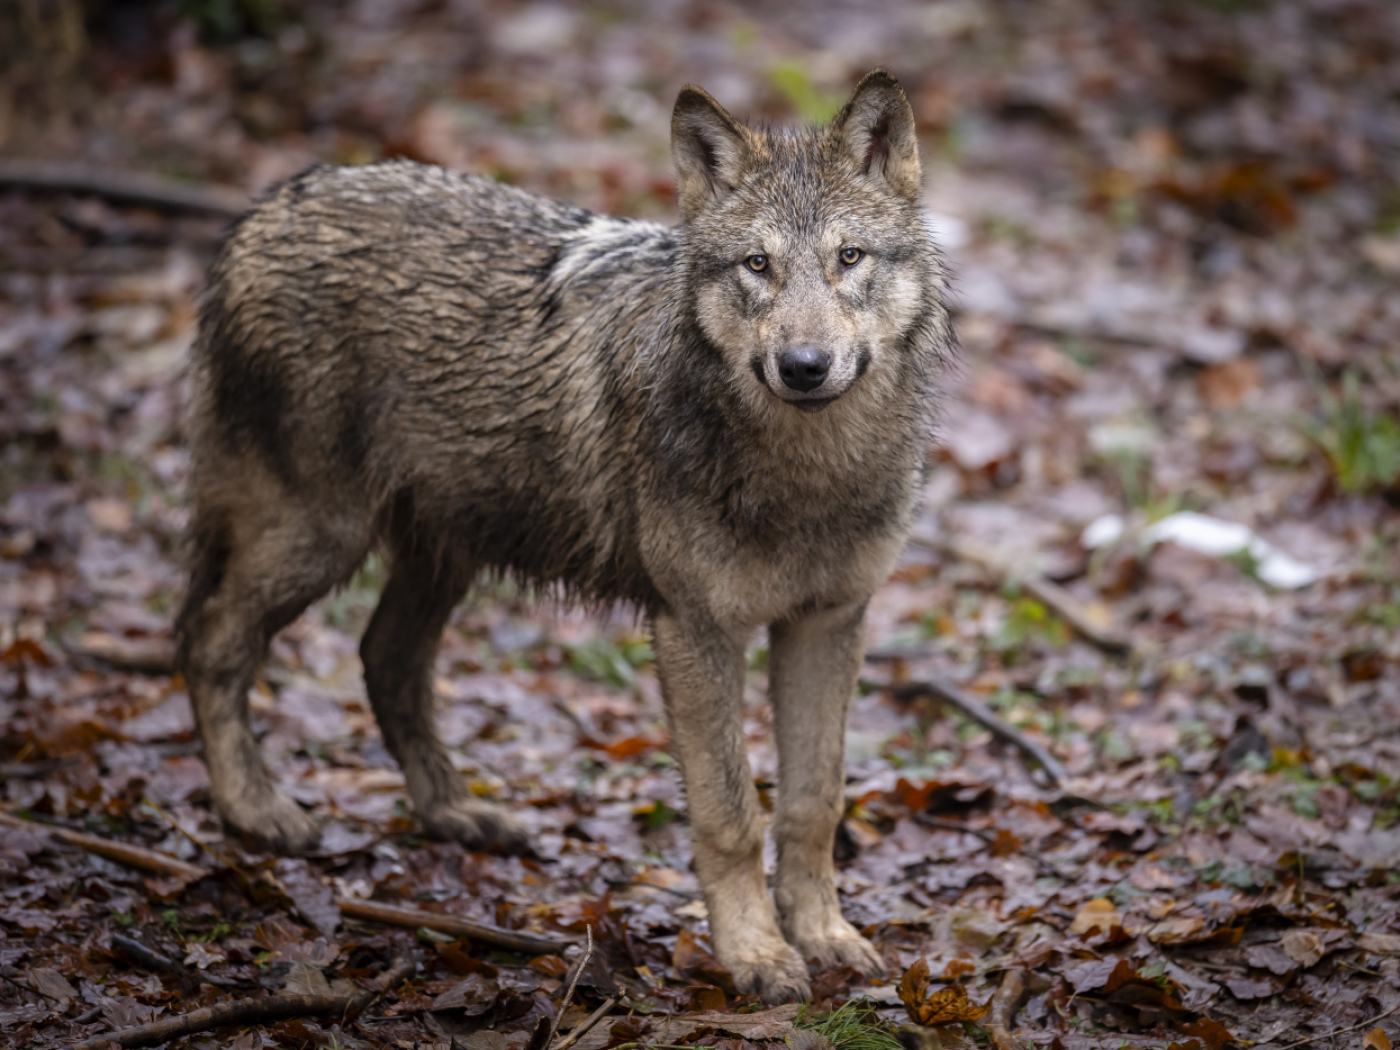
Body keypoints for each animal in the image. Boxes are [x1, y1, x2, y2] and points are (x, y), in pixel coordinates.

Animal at [175, 69, 952, 1000]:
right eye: (758, 266)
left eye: (849, 259)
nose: (803, 367)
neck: (807, 476)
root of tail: (261, 211)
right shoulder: (695, 630)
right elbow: (731, 813)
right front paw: (756, 955)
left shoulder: (828, 621)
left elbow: (812, 801)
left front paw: (826, 936)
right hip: (317, 539)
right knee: (212, 643)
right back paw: (254, 811)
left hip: (443, 553)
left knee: (384, 659)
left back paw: (455, 813)